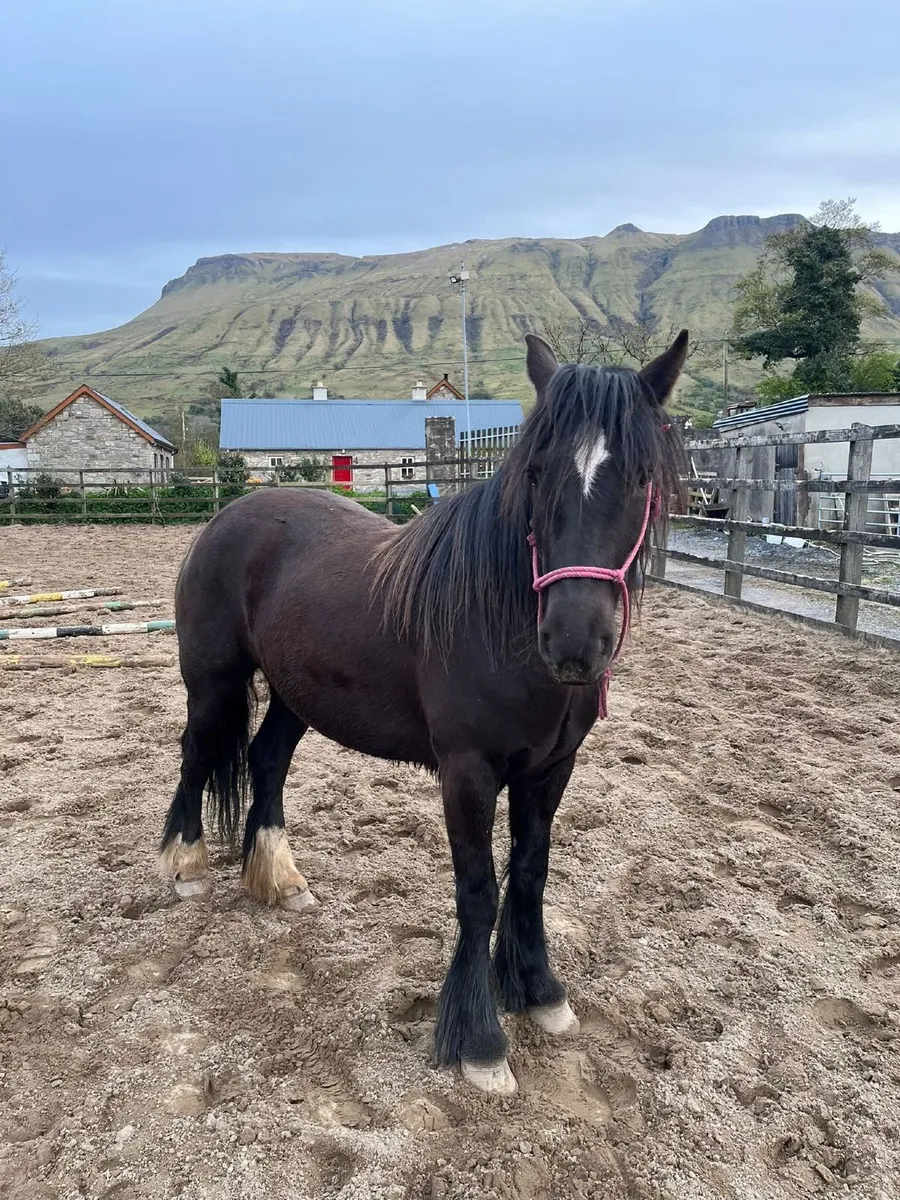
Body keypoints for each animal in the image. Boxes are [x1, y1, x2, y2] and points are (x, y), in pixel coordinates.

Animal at [159, 330, 688, 1095]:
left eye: (642, 478)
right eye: (535, 473)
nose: (573, 643)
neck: (500, 618)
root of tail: (228, 516)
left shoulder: (551, 770)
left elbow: (530, 875)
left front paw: (541, 994)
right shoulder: (467, 773)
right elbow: (479, 891)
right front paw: (480, 1041)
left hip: (295, 694)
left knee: (266, 760)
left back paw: (279, 880)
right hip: (214, 683)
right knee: (198, 755)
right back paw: (184, 866)